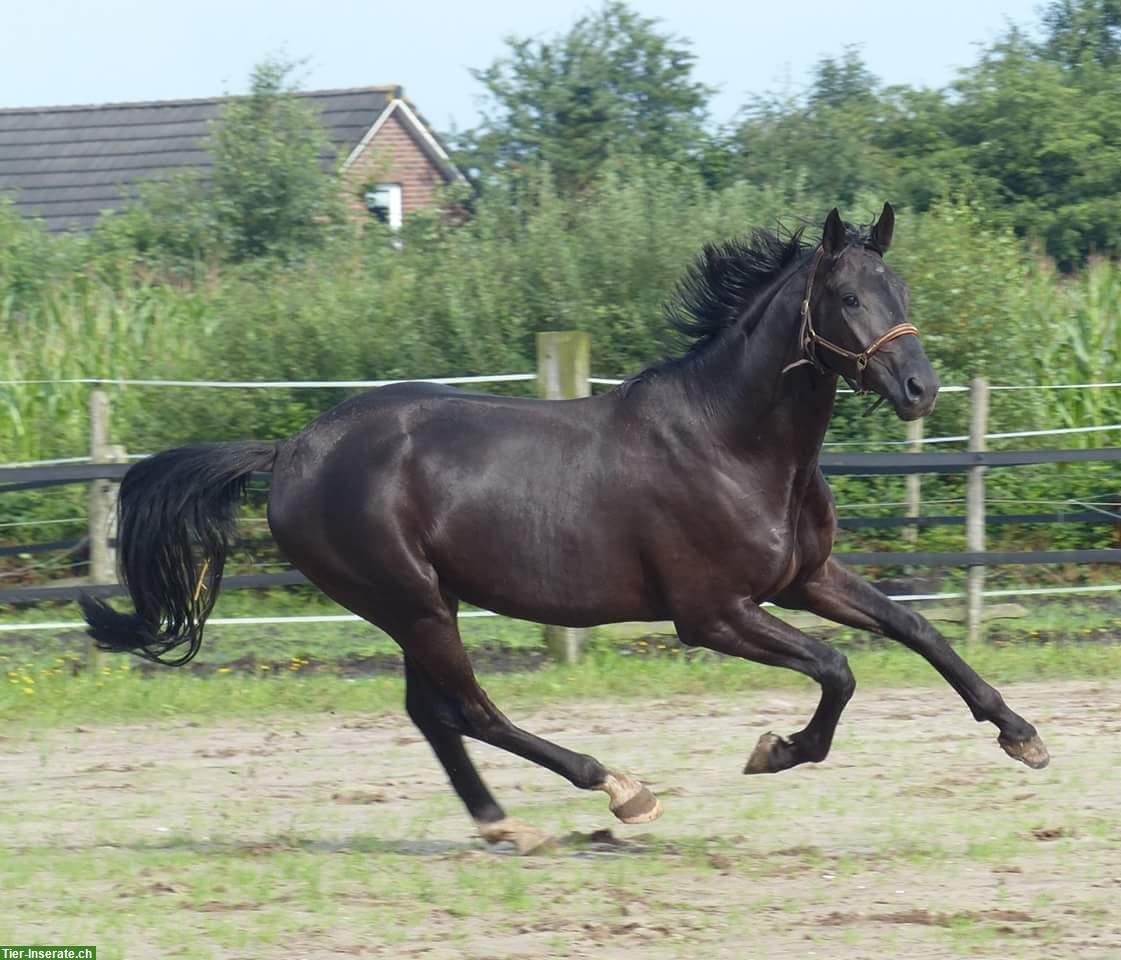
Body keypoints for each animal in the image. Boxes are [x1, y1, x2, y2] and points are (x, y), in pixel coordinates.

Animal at [82, 206, 1044, 852]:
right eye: (844, 295)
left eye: (899, 288)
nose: (919, 389)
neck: (730, 441)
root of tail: (289, 450)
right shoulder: (712, 614)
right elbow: (838, 669)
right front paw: (774, 751)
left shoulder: (805, 578)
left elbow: (916, 628)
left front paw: (1019, 734)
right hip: (412, 602)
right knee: (467, 708)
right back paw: (618, 790)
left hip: (417, 607)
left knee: (432, 712)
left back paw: (504, 826)